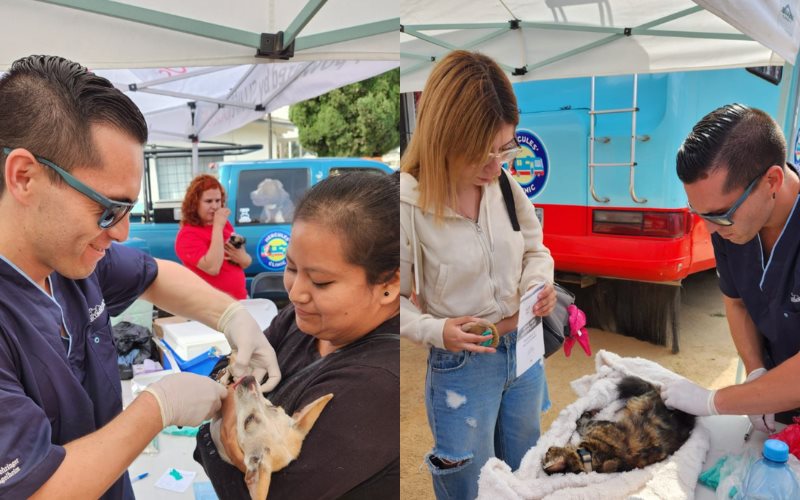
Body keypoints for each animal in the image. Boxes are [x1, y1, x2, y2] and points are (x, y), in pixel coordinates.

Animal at [544, 376, 692, 474]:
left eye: (548, 452)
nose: (548, 448)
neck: (592, 458)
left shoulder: (595, 425)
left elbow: (580, 421)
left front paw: (586, 413)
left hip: (636, 402)